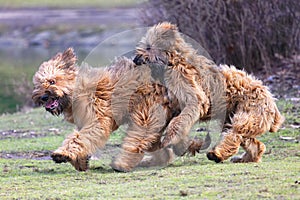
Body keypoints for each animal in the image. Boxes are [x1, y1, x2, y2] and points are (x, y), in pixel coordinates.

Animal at [31, 47, 207, 172]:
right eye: (38, 85)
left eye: (52, 81)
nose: (43, 97)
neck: (76, 90)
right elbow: (81, 138)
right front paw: (80, 161)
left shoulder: (98, 120)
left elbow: (79, 138)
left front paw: (63, 154)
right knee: (159, 141)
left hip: (145, 113)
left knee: (139, 140)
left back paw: (122, 164)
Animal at [134, 22, 284, 162]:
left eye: (148, 47)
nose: (135, 60)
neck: (174, 59)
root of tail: (271, 99)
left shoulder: (192, 96)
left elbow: (178, 121)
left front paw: (171, 139)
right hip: (237, 117)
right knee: (253, 143)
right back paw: (244, 157)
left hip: (247, 116)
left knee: (235, 134)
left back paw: (217, 154)